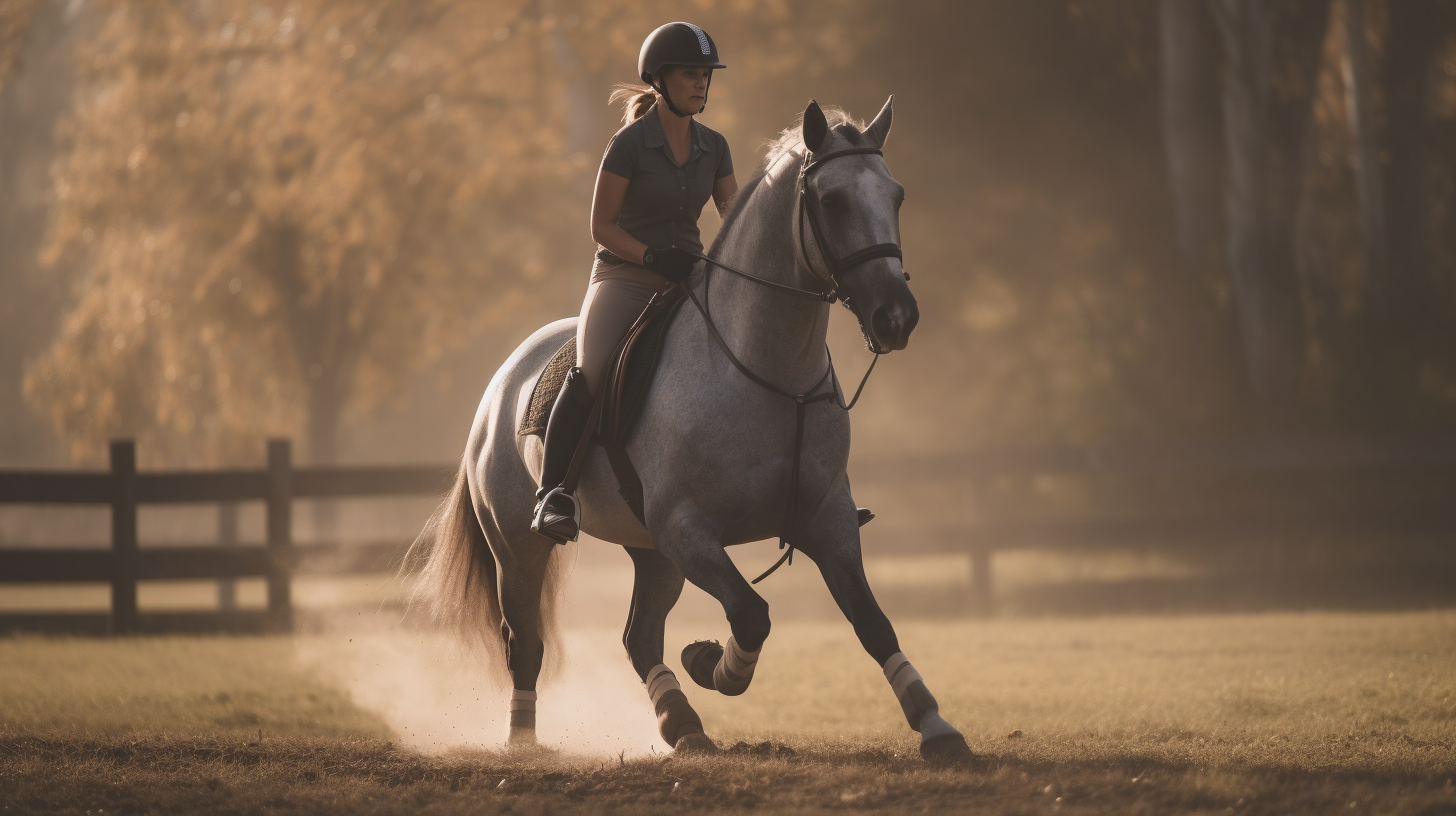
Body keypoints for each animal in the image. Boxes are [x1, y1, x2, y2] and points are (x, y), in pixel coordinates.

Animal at [410, 99, 978, 763]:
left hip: (651, 551)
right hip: (524, 549)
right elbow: (752, 614)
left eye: (897, 195)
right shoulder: (688, 529)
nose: (897, 317)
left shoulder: (826, 519)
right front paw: (712, 662)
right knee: (526, 642)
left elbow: (872, 622)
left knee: (638, 636)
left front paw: (937, 726)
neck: (765, 371)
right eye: (832, 200)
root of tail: (501, 381)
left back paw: (682, 724)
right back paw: (526, 743)